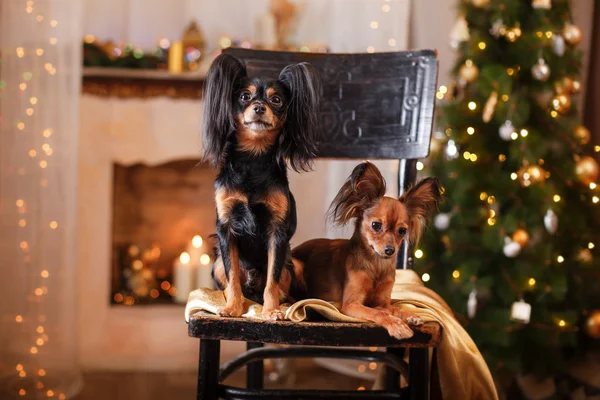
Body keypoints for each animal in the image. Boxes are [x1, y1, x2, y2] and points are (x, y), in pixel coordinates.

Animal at [202, 53, 322, 320]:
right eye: (244, 96)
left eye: (276, 100)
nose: (258, 107)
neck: (253, 158)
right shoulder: (226, 228)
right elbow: (233, 277)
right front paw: (232, 307)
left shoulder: (277, 232)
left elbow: (272, 280)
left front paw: (270, 311)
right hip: (216, 263)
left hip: (293, 263)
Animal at [294, 162, 440, 338]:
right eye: (376, 225)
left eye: (402, 231)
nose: (390, 250)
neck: (376, 264)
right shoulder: (351, 304)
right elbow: (378, 313)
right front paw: (396, 325)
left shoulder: (383, 302)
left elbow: (394, 308)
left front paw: (409, 314)